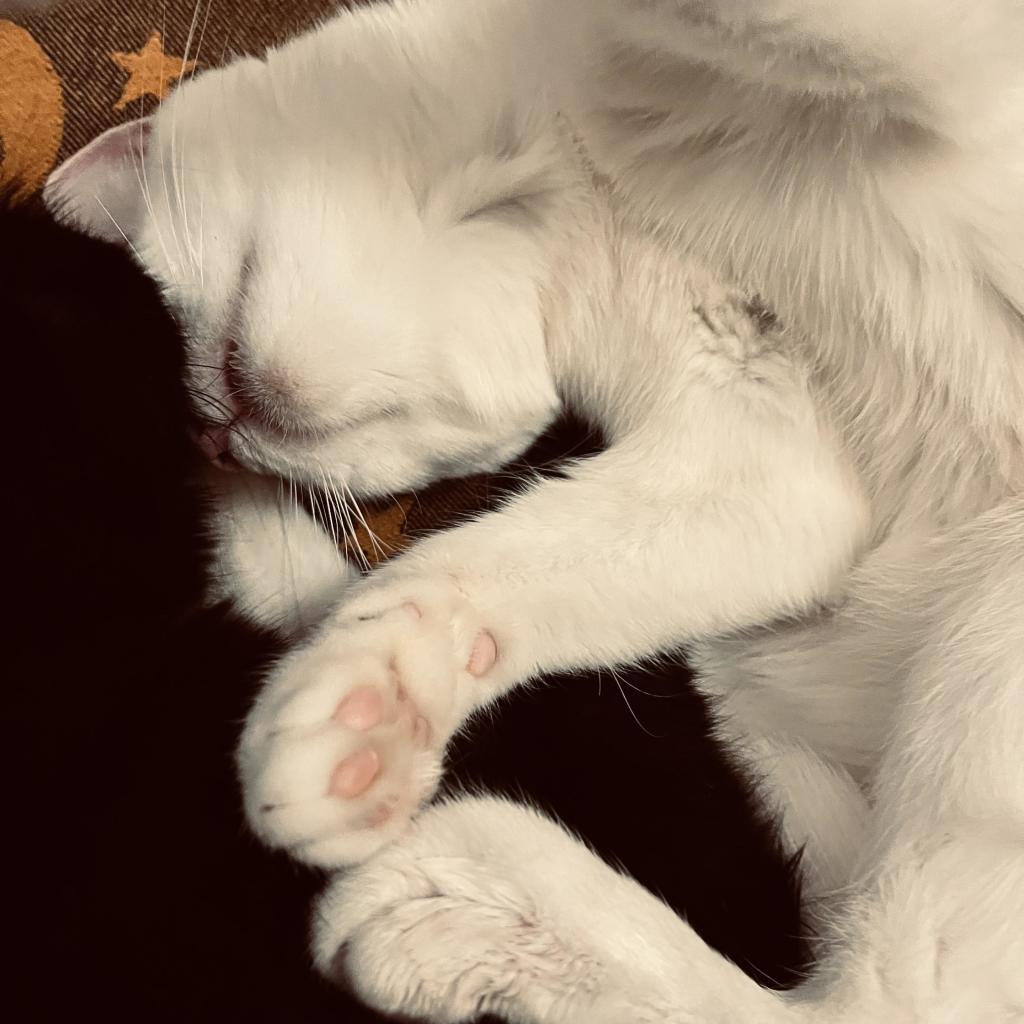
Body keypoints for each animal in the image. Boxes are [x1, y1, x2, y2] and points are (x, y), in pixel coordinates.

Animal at [48, 0, 1024, 1019]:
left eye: (176, 316)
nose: (214, 437)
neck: (570, 182)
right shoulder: (767, 449)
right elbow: (457, 571)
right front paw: (371, 709)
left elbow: (805, 31)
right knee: (879, 997)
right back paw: (455, 901)